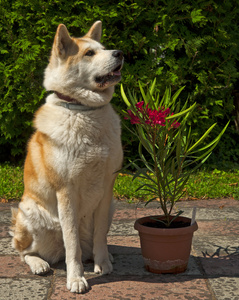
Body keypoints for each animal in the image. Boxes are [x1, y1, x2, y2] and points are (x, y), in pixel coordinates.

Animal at [10, 21, 124, 292]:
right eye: (89, 53)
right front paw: (76, 279)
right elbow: (71, 242)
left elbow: (101, 234)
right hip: (29, 212)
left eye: (104, 48)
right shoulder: (66, 191)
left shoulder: (107, 188)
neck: (84, 111)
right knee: (24, 251)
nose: (120, 53)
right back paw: (39, 264)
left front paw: (103, 264)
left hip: (111, 207)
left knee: (89, 243)